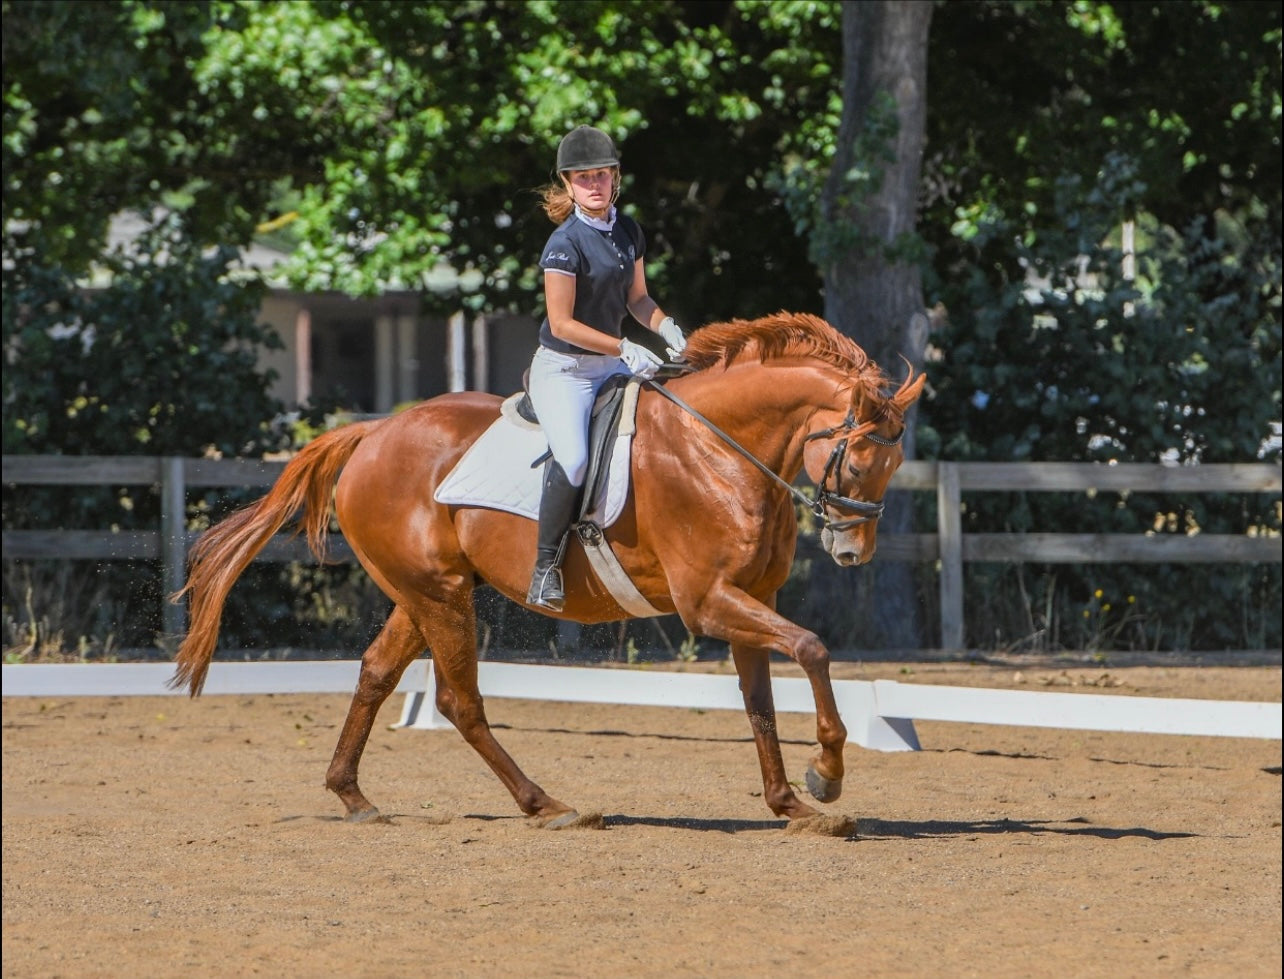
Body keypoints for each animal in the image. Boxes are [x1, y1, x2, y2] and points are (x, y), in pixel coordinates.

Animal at [173, 310, 924, 822]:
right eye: (860, 460)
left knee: (377, 672)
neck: (719, 449)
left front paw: (791, 803)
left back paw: (353, 795)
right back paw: (545, 803)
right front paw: (826, 772)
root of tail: (374, 431)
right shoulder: (708, 600)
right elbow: (813, 647)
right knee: (458, 700)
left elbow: (761, 701)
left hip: (423, 594)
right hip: (441, 595)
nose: (852, 552)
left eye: (894, 465)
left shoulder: (748, 597)